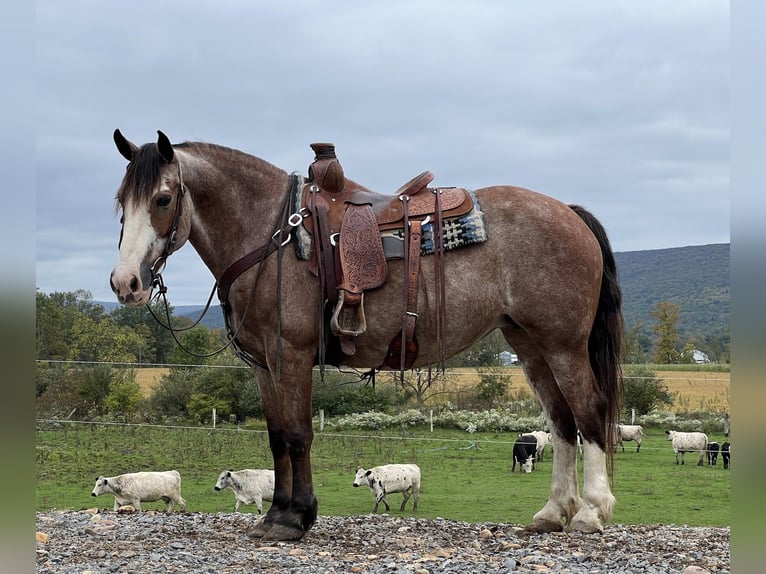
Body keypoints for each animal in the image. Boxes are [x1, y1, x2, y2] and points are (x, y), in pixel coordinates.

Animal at [109, 132, 624, 544]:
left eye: (162, 199)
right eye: (120, 201)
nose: (125, 283)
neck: (272, 237)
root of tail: (569, 213)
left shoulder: (290, 354)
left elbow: (297, 435)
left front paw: (294, 518)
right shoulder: (264, 364)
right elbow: (277, 438)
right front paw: (277, 515)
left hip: (563, 345)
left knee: (589, 414)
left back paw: (591, 513)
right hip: (530, 346)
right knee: (562, 424)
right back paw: (553, 514)